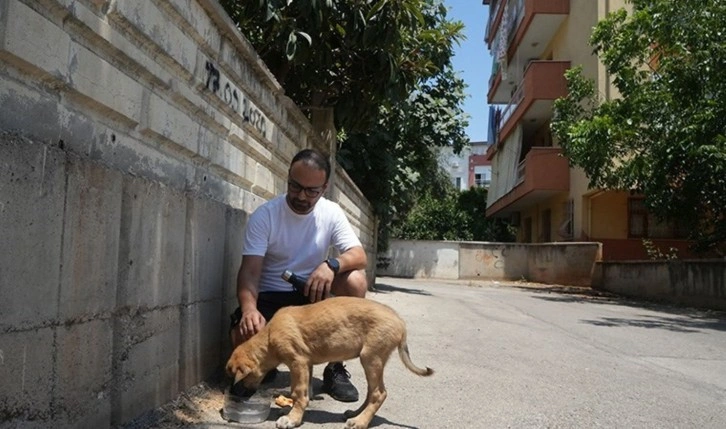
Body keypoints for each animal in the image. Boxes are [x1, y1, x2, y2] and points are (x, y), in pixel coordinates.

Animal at [228, 296, 432, 428]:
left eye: (236, 378)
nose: (234, 395)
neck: (269, 337)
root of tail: (400, 322)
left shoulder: (297, 362)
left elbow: (297, 392)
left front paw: (292, 418)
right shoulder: (307, 364)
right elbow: (306, 392)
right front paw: (293, 411)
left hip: (371, 357)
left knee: (379, 393)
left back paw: (360, 422)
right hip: (372, 362)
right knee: (371, 391)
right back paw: (356, 414)